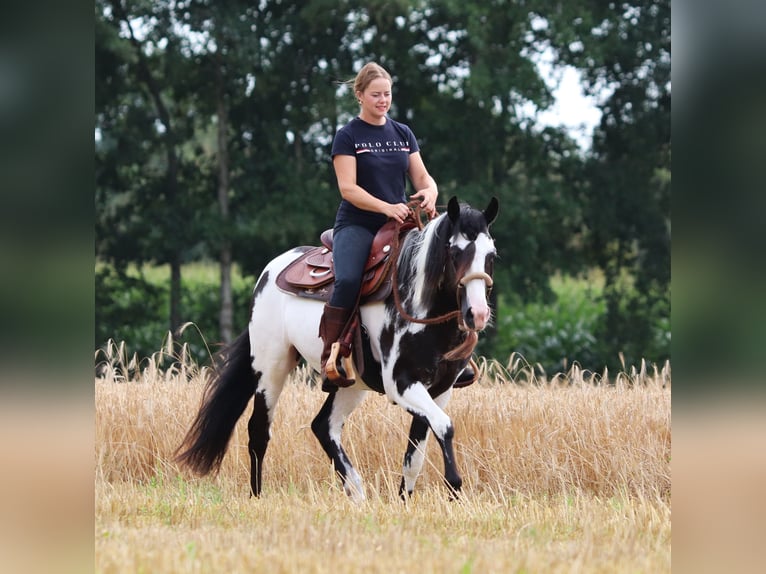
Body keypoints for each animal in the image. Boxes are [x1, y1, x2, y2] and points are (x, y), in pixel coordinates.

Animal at [175, 196, 498, 501]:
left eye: (491, 255)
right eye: (455, 252)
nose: (478, 314)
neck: (421, 306)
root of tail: (270, 271)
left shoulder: (440, 389)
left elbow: (416, 453)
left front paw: (406, 500)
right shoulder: (401, 383)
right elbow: (444, 426)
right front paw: (455, 487)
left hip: (350, 383)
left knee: (324, 426)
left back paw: (356, 490)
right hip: (271, 367)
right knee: (259, 430)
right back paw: (258, 496)